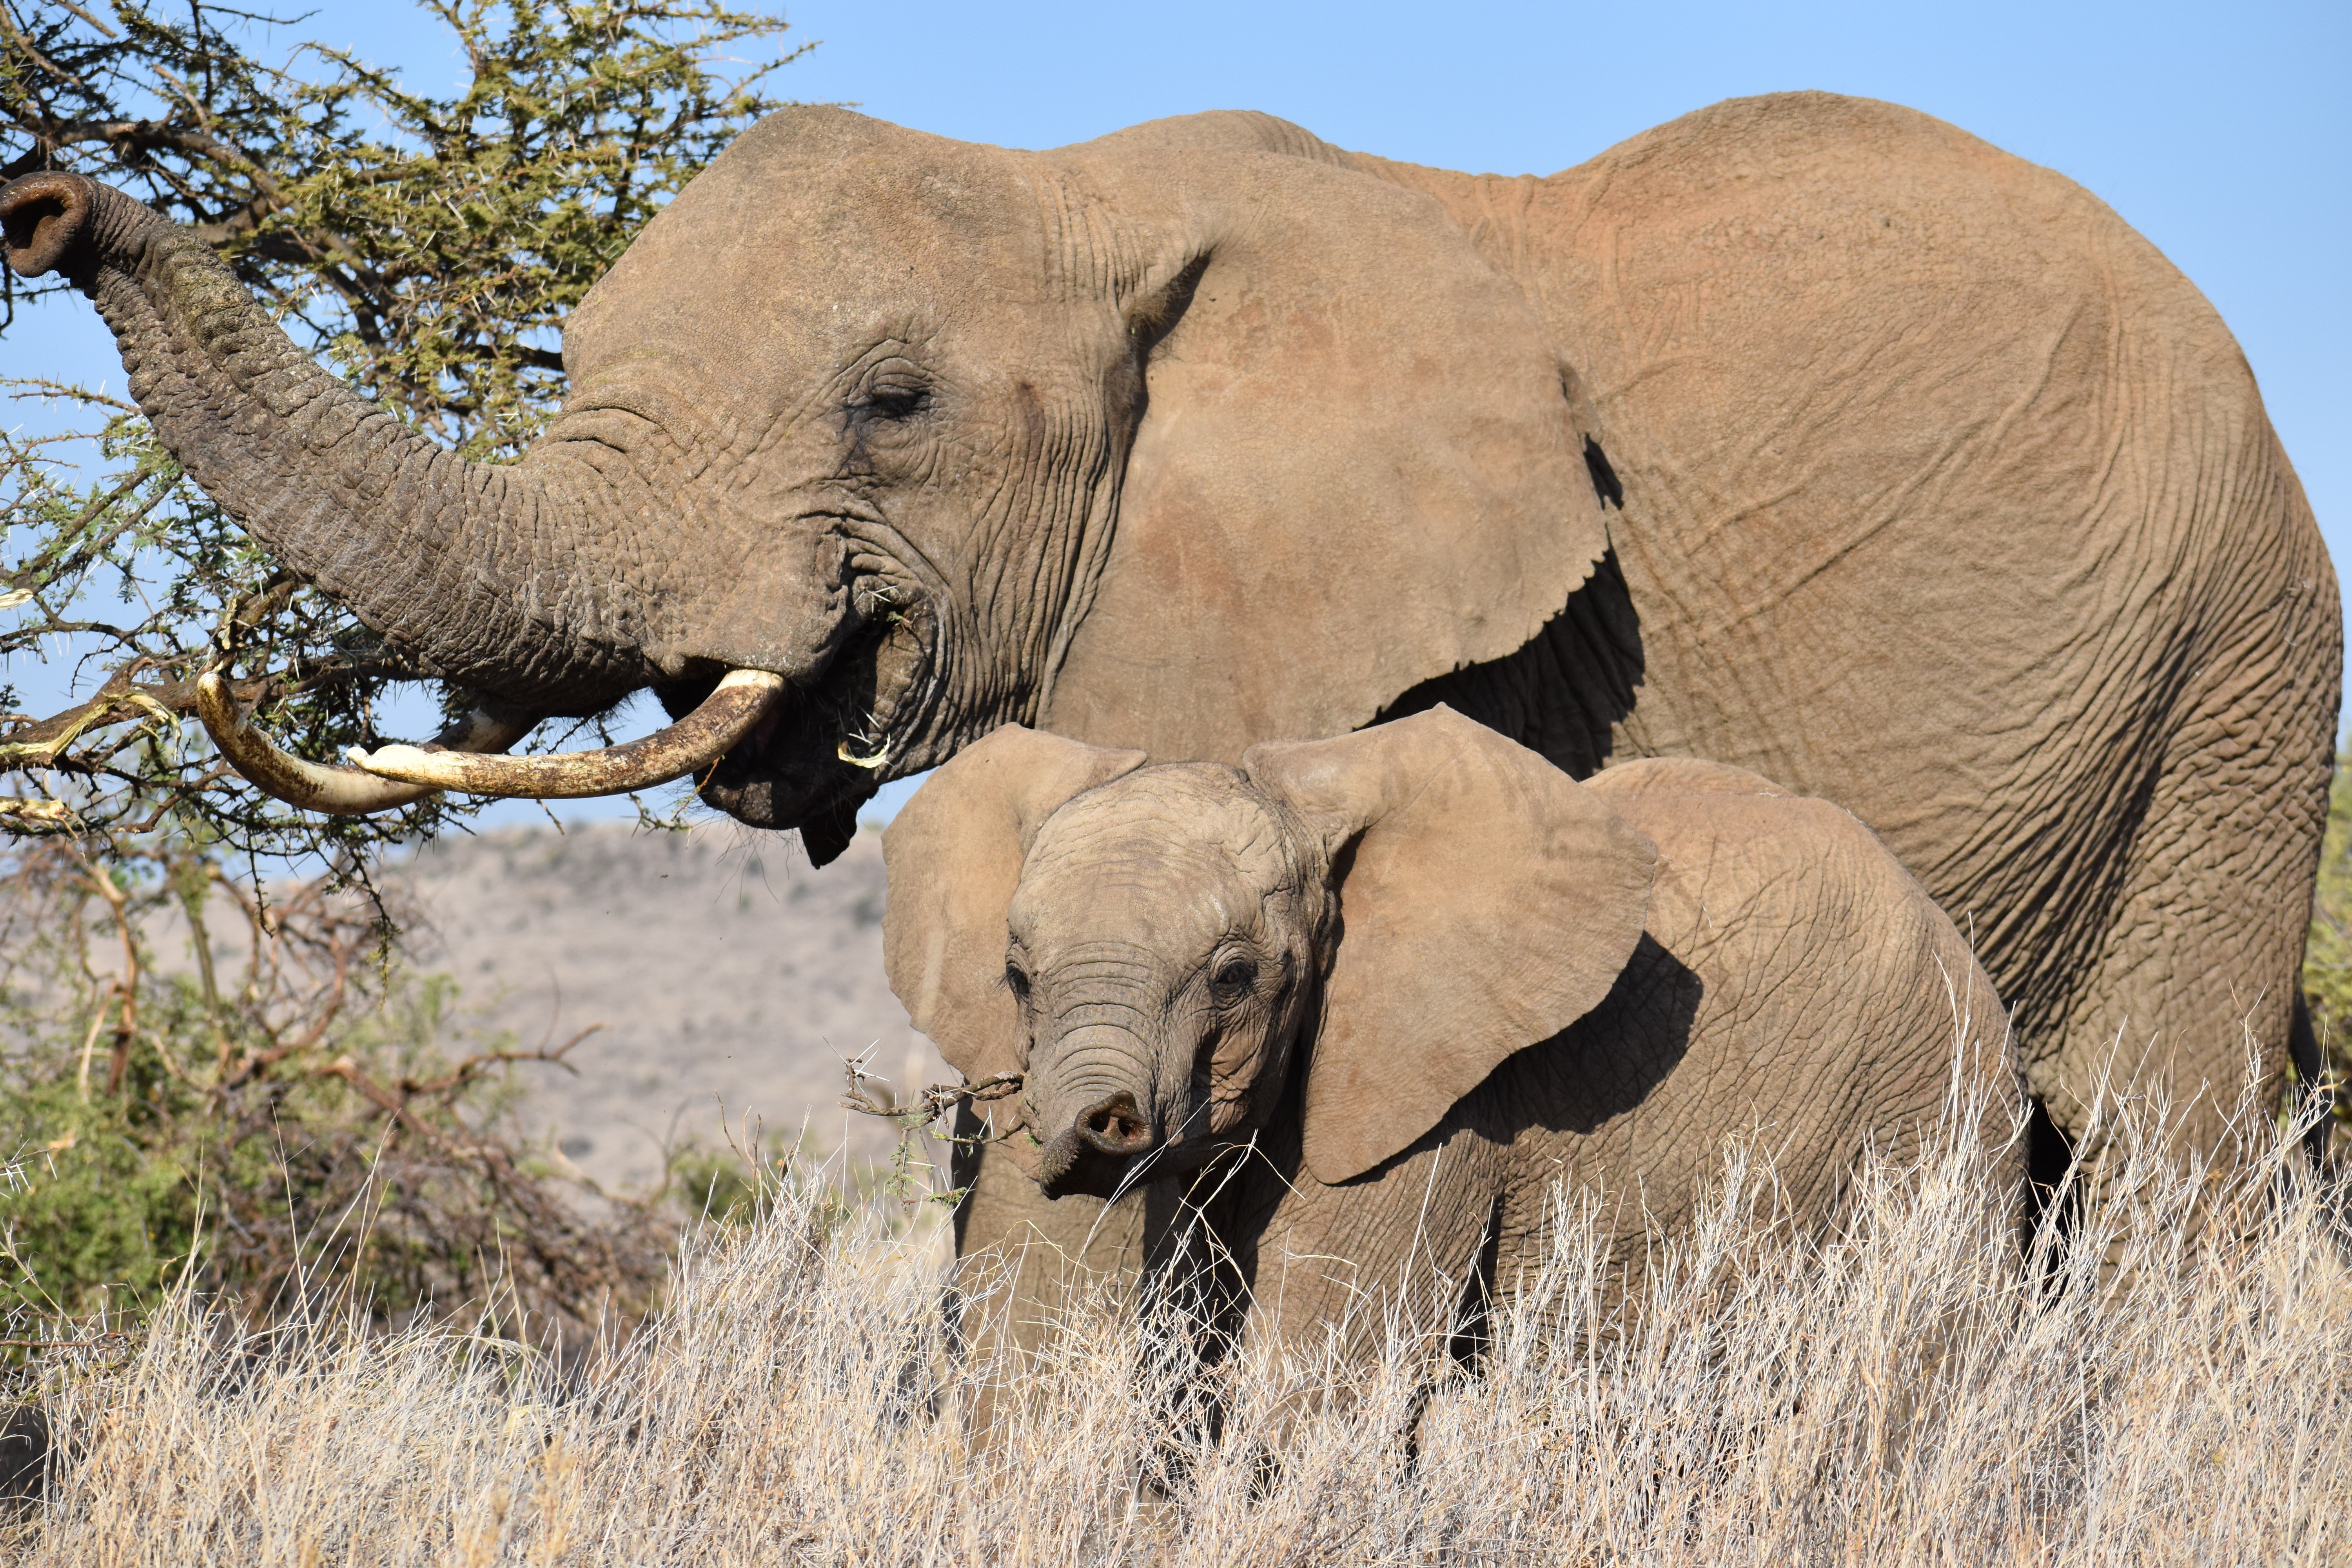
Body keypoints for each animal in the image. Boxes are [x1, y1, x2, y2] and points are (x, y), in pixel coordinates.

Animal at [0, 90, 2331, 1270]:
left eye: (893, 404)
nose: (43, 200)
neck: (1074, 202)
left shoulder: (1480, 659)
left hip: (2226, 687)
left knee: (2157, 1142)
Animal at [881, 707, 2024, 1367]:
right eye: (1017, 978)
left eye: (1236, 975)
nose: (1097, 1128)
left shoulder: (1438, 1106)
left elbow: (1321, 1374)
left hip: (1937, 1096)